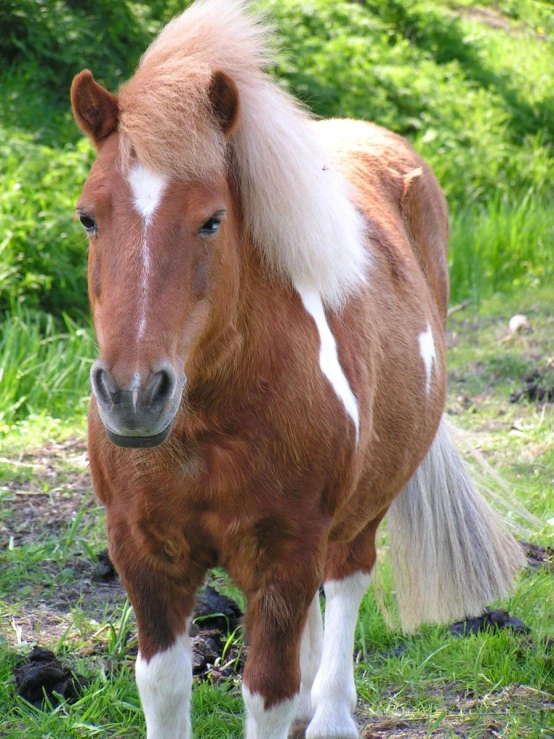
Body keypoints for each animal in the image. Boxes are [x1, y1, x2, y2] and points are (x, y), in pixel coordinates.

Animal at [70, 1, 520, 739]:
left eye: (212, 221)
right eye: (88, 218)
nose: (134, 395)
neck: (208, 426)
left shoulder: (284, 553)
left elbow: (268, 691)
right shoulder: (143, 554)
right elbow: (163, 684)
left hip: (363, 505)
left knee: (346, 578)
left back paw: (331, 711)